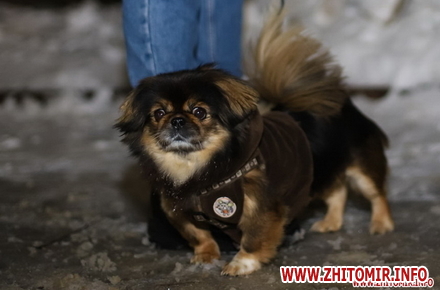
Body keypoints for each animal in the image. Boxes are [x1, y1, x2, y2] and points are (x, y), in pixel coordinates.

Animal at [115, 10, 394, 276]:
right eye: (159, 113)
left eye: (199, 111)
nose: (177, 120)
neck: (199, 170)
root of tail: (339, 101)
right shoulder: (180, 211)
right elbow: (199, 236)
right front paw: (206, 255)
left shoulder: (262, 207)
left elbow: (253, 239)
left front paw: (242, 264)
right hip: (320, 170)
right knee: (338, 191)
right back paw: (330, 223)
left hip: (360, 169)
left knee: (376, 194)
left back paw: (381, 224)